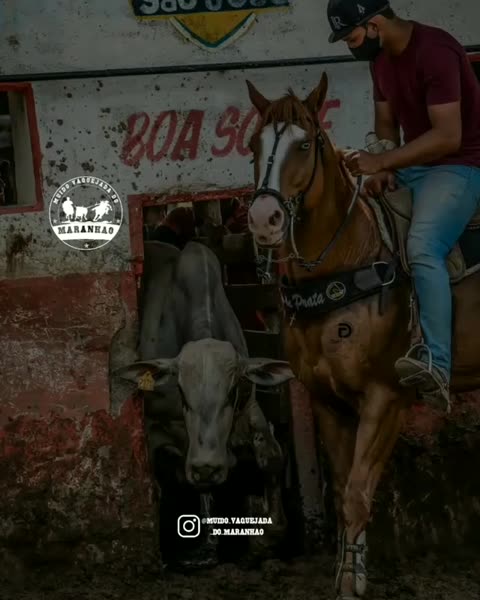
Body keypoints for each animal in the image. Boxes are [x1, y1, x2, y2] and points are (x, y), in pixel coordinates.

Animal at [244, 72, 480, 599]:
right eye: (253, 144)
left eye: (305, 144)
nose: (264, 219)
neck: (346, 264)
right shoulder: (327, 401)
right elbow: (342, 488)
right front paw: (347, 571)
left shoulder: (385, 397)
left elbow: (357, 492)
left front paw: (351, 583)